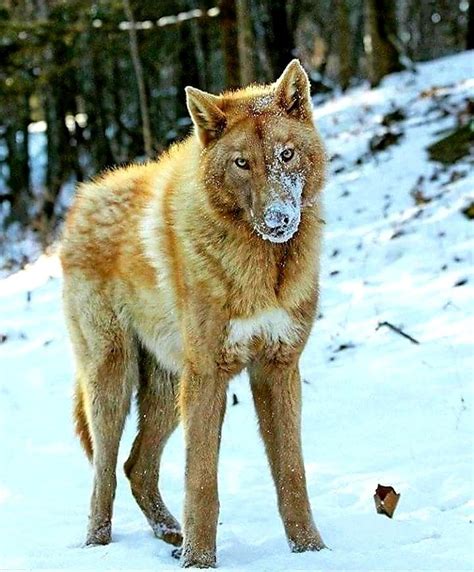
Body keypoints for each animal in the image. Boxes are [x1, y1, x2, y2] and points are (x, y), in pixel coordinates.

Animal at [61, 59, 328, 568]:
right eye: (242, 163)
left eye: (285, 155)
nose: (279, 219)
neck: (262, 269)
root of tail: (83, 199)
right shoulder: (208, 375)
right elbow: (202, 483)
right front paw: (199, 562)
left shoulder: (278, 368)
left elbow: (293, 476)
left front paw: (311, 551)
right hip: (115, 382)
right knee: (104, 475)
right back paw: (100, 546)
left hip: (166, 391)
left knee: (137, 466)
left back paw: (170, 534)